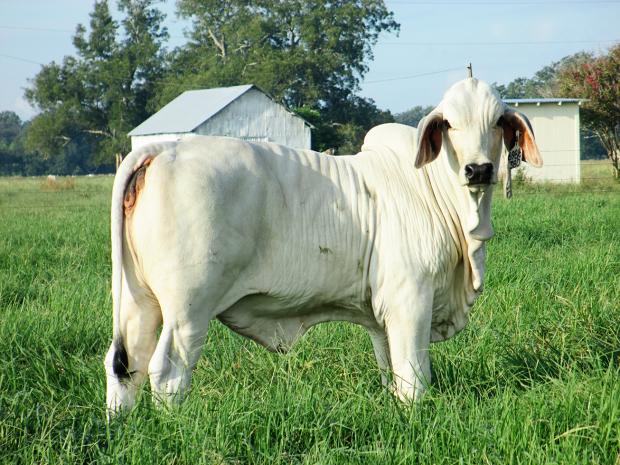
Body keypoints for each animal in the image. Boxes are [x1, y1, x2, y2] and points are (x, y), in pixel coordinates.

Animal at [104, 78, 540, 412]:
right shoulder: (411, 299)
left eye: (499, 121)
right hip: (188, 308)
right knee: (167, 372)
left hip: (139, 301)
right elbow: (414, 378)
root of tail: (163, 148)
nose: (478, 169)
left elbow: (391, 372)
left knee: (125, 365)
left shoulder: (382, 315)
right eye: (449, 124)